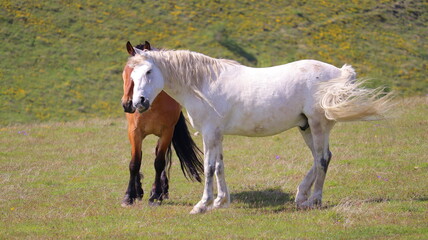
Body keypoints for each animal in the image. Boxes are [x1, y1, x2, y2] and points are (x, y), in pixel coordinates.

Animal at [118, 41, 202, 206]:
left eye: (145, 74)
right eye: (125, 73)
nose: (128, 104)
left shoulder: (166, 132)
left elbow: (159, 162)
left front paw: (155, 195)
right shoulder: (135, 132)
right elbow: (134, 163)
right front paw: (129, 196)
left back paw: (162, 190)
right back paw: (139, 190)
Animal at [126, 47, 392, 214]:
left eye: (148, 72)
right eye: (131, 74)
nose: (138, 102)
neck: (203, 84)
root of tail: (338, 73)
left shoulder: (210, 133)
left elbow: (209, 168)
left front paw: (202, 205)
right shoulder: (217, 135)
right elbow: (220, 166)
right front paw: (221, 201)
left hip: (318, 125)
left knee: (323, 159)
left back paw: (313, 200)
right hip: (306, 127)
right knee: (320, 158)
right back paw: (301, 196)